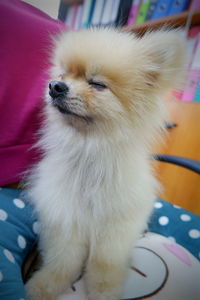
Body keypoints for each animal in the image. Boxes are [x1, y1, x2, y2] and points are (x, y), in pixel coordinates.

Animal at [25, 28, 185, 300]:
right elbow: (62, 261)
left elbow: (104, 265)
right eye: (62, 74)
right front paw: (45, 285)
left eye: (98, 84)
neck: (89, 151)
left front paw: (104, 292)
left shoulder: (114, 229)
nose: (55, 86)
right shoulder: (67, 218)